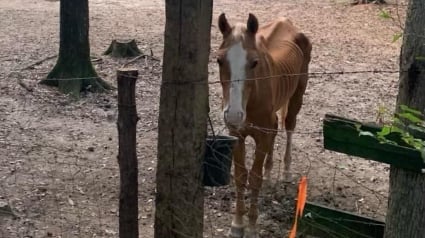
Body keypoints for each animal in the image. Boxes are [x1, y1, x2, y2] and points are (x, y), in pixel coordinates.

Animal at [215, 13, 312, 238]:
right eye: (219, 60)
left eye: (254, 62)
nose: (234, 114)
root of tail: (287, 23)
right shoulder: (237, 135)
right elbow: (241, 176)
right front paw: (237, 224)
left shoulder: (261, 136)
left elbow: (255, 178)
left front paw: (251, 227)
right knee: (276, 128)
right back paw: (270, 173)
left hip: (297, 96)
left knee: (289, 126)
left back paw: (285, 172)